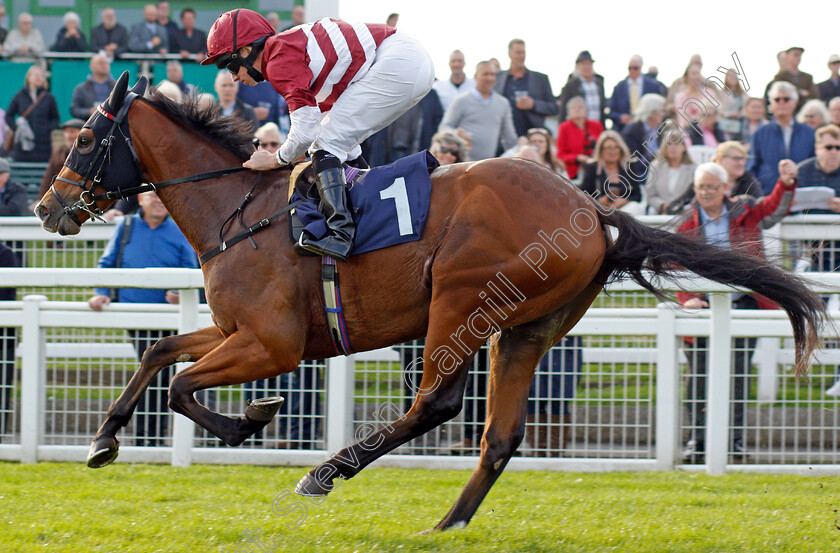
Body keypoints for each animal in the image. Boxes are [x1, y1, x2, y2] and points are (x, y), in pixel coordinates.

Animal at [34, 73, 828, 532]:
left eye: (87, 138)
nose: (47, 207)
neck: (240, 207)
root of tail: (590, 208)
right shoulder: (235, 328)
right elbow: (163, 353)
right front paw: (103, 440)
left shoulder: (273, 342)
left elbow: (180, 385)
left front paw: (251, 420)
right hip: (527, 329)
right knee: (499, 434)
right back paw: (446, 524)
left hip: (461, 300)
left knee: (437, 405)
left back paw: (325, 472)